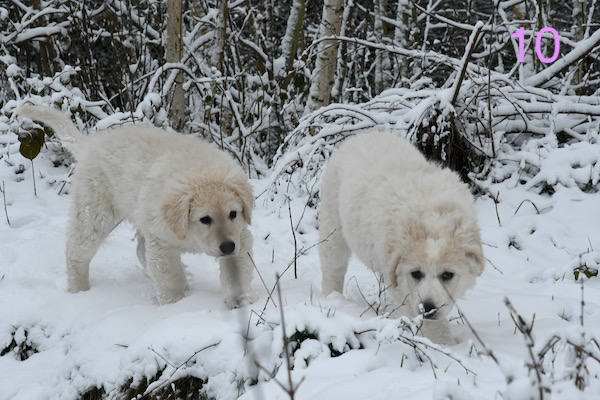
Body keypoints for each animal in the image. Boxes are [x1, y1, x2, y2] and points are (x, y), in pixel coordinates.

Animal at [15, 104, 255, 308]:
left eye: (233, 214)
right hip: (94, 211)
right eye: (205, 219)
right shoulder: (161, 242)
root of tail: (91, 144)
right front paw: (175, 306)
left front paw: (241, 302)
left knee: (140, 249)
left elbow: (237, 272)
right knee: (77, 251)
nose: (227, 247)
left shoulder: (240, 236)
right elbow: (170, 279)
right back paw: (79, 292)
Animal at [322, 131, 486, 344]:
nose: (428, 308)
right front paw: (446, 347)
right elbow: (434, 329)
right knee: (333, 268)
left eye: (447, 275)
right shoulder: (404, 287)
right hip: (333, 227)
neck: (432, 218)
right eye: (416, 273)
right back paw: (332, 299)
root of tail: (364, 134)